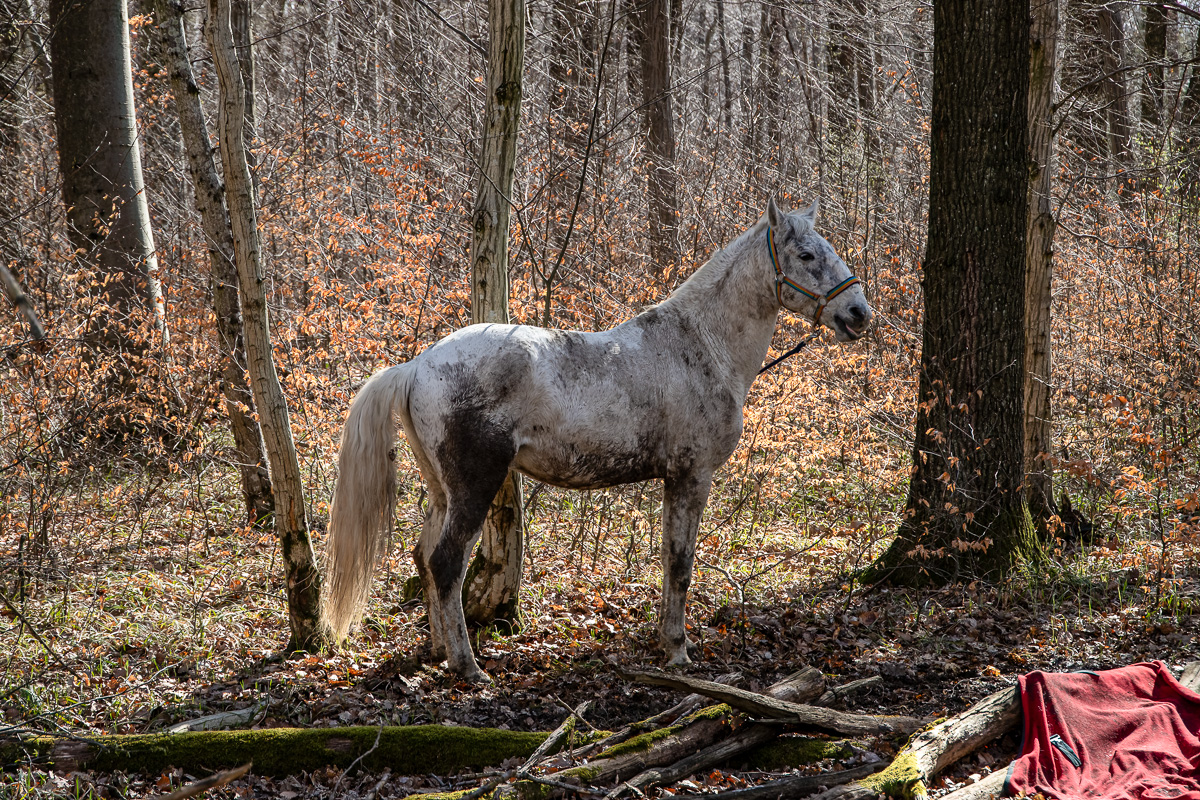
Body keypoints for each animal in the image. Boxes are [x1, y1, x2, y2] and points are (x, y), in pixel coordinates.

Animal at [324, 196, 878, 681]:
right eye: (806, 255)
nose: (859, 314)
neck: (700, 345)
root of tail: (417, 366)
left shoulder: (674, 480)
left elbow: (668, 558)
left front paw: (666, 642)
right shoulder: (691, 476)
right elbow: (681, 563)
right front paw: (678, 651)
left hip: (443, 491)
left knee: (423, 556)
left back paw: (439, 649)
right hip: (474, 487)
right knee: (446, 563)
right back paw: (466, 665)